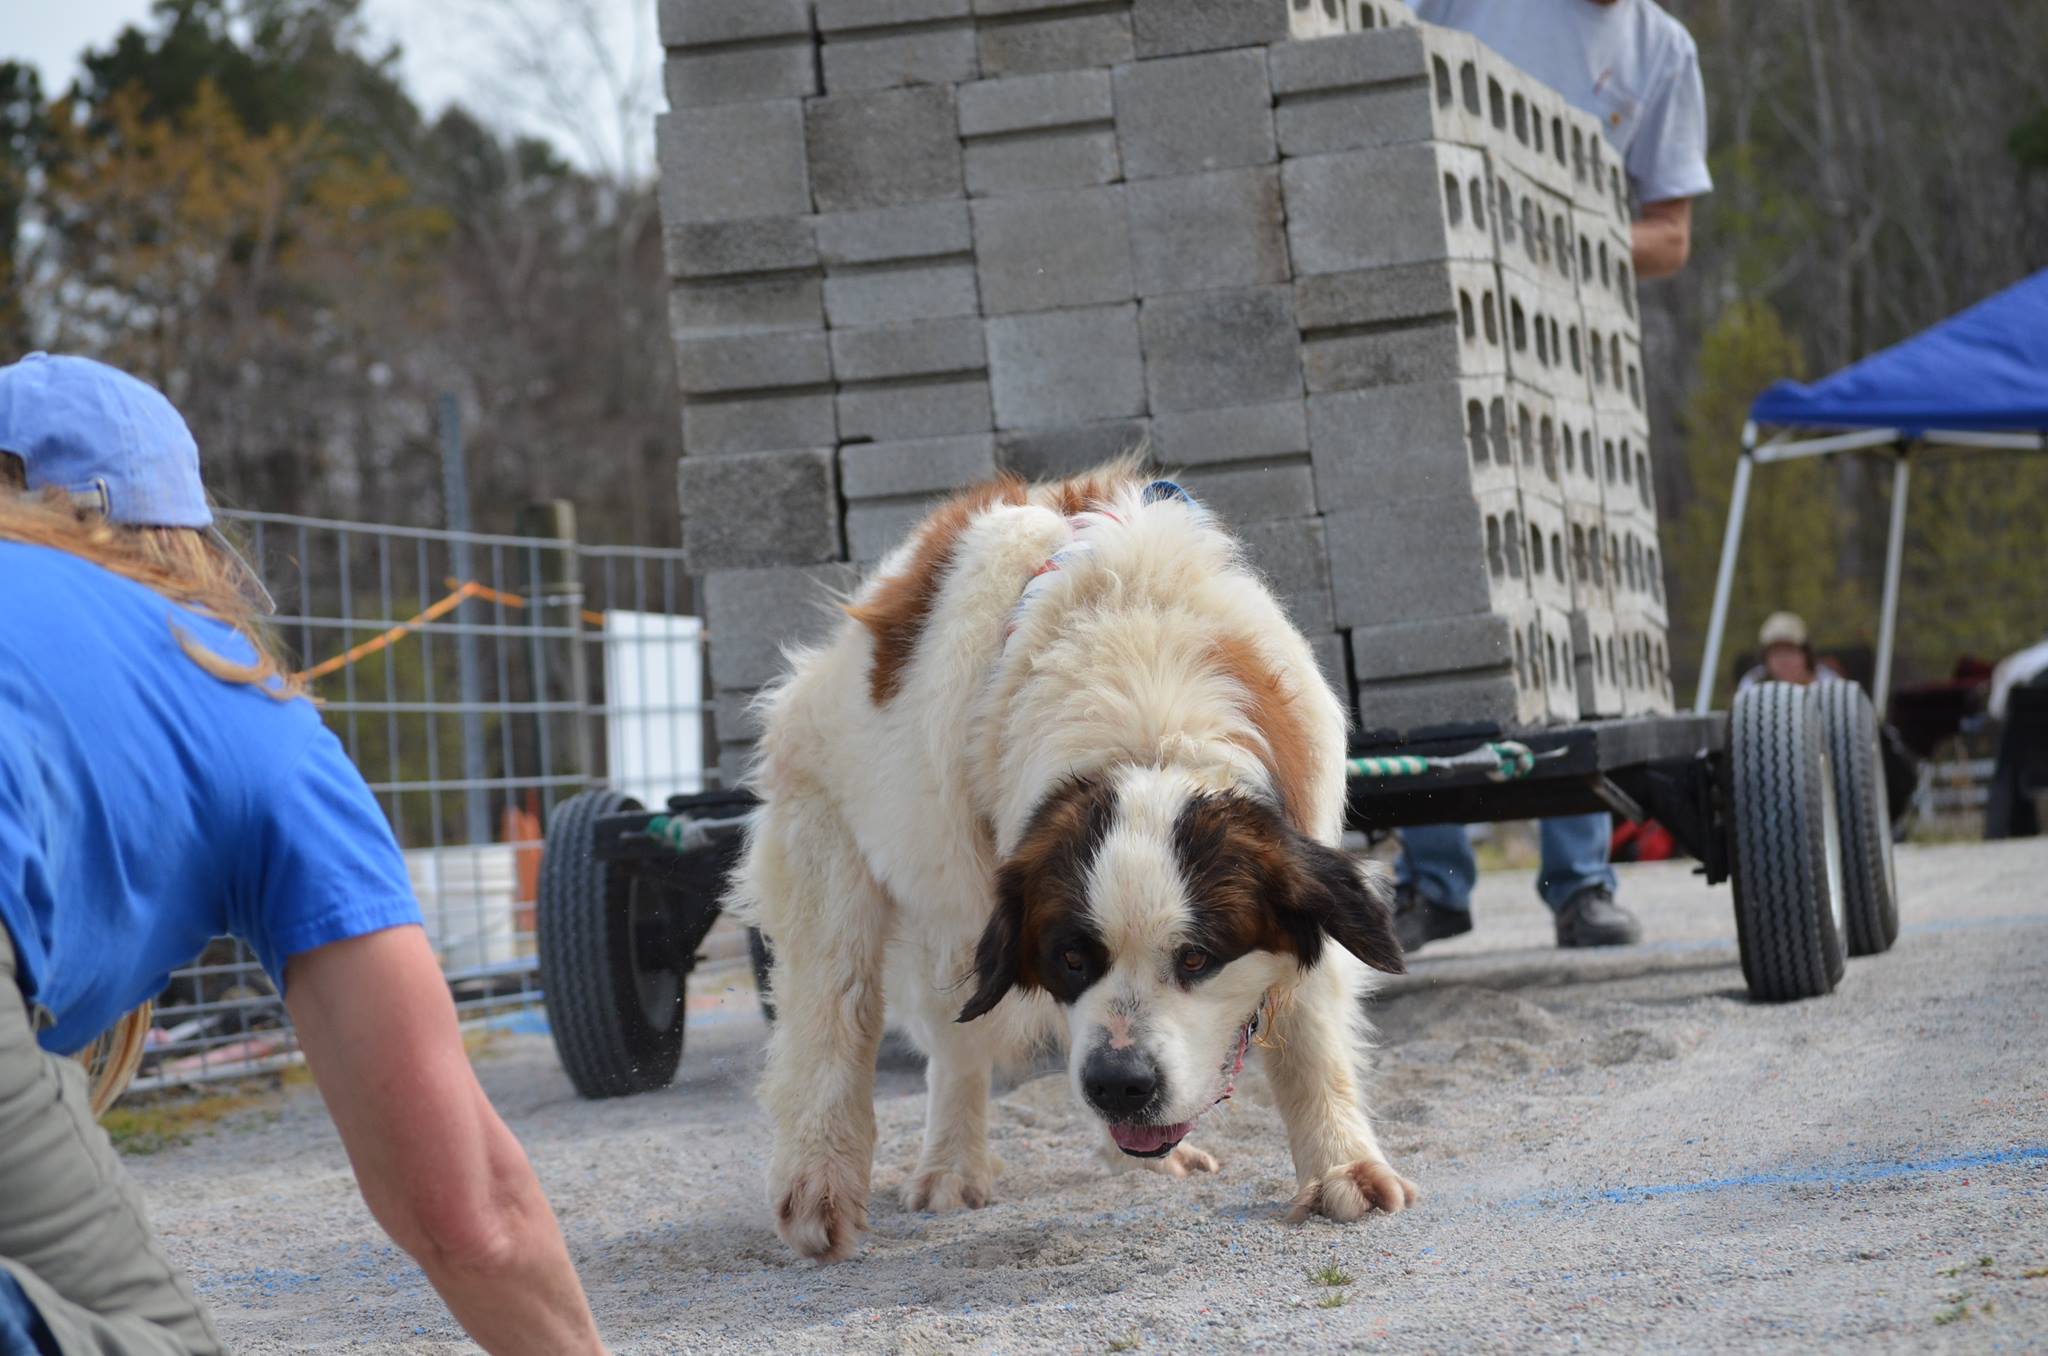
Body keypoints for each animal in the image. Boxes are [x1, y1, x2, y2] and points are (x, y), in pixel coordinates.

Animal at [729, 464, 1417, 1261]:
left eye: (1197, 958)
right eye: (1071, 959)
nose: (1121, 1083)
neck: (1147, 722)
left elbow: (1308, 1029)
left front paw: (1341, 1166)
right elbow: (842, 1015)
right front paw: (827, 1175)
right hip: (871, 843)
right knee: (868, 1012)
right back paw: (906, 1167)